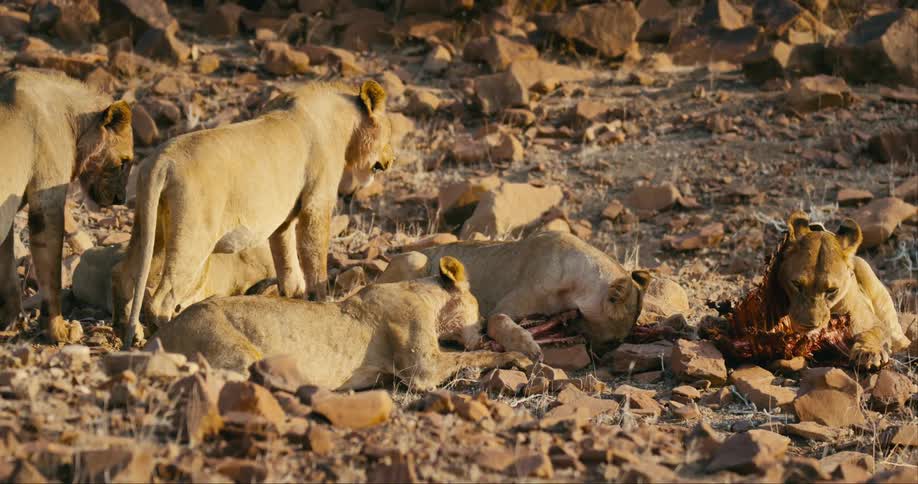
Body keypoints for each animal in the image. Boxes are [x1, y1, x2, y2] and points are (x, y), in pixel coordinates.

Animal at [0, 70, 133, 343]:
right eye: (125, 162)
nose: (121, 199)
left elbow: (6, 268)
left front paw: (12, 322)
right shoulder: (46, 201)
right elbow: (51, 273)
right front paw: (59, 330)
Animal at [113, 80, 394, 348]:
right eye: (389, 131)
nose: (391, 160)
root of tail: (161, 162)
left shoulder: (284, 221)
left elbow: (287, 262)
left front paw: (293, 298)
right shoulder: (317, 200)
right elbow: (313, 256)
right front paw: (322, 302)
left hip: (151, 230)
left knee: (126, 278)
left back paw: (132, 334)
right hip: (192, 236)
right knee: (161, 299)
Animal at [152, 256, 531, 391]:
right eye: (477, 307)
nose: (484, 325)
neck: (424, 294)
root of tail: (163, 332)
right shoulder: (421, 367)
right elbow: (471, 356)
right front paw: (517, 357)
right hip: (230, 347)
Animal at [378, 231, 652, 351]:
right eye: (612, 341)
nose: (599, 352)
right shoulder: (502, 308)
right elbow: (498, 322)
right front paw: (527, 344)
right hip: (414, 258)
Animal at [778, 212, 911, 370]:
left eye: (831, 290)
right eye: (796, 284)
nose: (810, 326)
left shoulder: (876, 323)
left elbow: (871, 333)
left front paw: (868, 353)